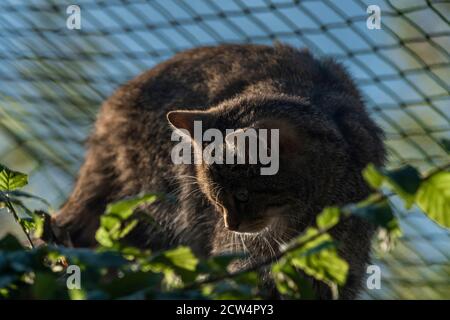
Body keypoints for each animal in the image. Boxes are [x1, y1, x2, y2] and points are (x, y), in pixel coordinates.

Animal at [51, 43, 384, 298]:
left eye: (243, 195)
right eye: (216, 201)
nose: (230, 224)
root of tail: (113, 106)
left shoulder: (343, 263)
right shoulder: (243, 260)